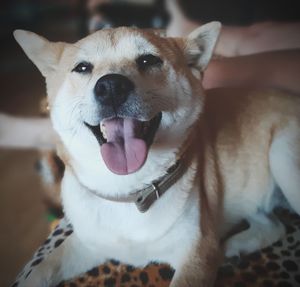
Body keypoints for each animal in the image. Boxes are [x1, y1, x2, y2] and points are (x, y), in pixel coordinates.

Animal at [12, 23, 300, 287]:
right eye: (82, 68)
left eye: (148, 60)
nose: (111, 86)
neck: (129, 191)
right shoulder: (88, 243)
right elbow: (39, 271)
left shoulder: (195, 252)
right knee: (274, 225)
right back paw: (236, 246)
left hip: (283, 158)